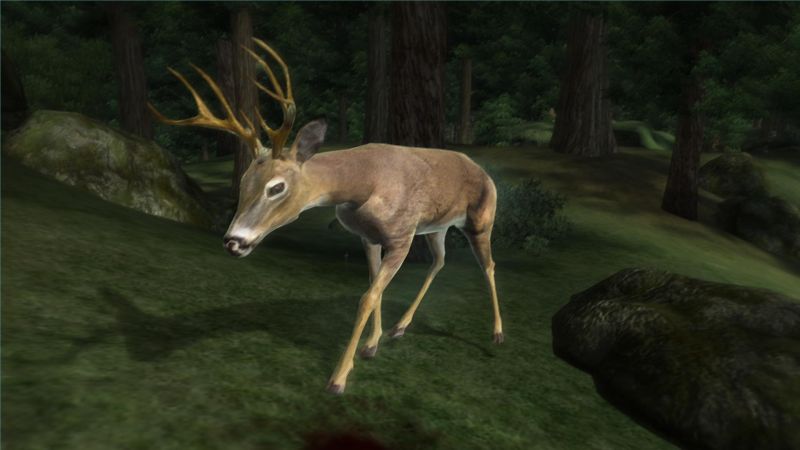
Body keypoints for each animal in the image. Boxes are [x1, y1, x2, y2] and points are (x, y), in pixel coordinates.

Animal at [148, 39, 503, 394]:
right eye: (244, 181)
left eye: (276, 187)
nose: (233, 241)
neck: (363, 185)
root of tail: (485, 173)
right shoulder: (368, 237)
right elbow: (374, 287)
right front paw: (372, 345)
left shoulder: (401, 236)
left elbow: (367, 296)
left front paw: (339, 377)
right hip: (436, 227)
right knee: (439, 261)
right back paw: (400, 327)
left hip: (480, 220)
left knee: (488, 264)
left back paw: (497, 334)